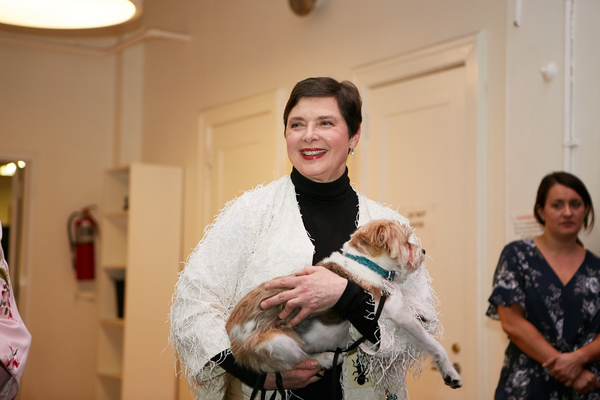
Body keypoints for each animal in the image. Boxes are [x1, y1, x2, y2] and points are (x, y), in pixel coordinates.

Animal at [225, 219, 464, 394]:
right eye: (407, 242)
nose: (423, 251)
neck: (366, 264)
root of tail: (231, 333)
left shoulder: (393, 298)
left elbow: (405, 296)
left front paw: (423, 310)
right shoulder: (396, 312)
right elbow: (433, 344)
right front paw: (449, 372)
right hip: (279, 342)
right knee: (298, 360)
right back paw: (326, 358)